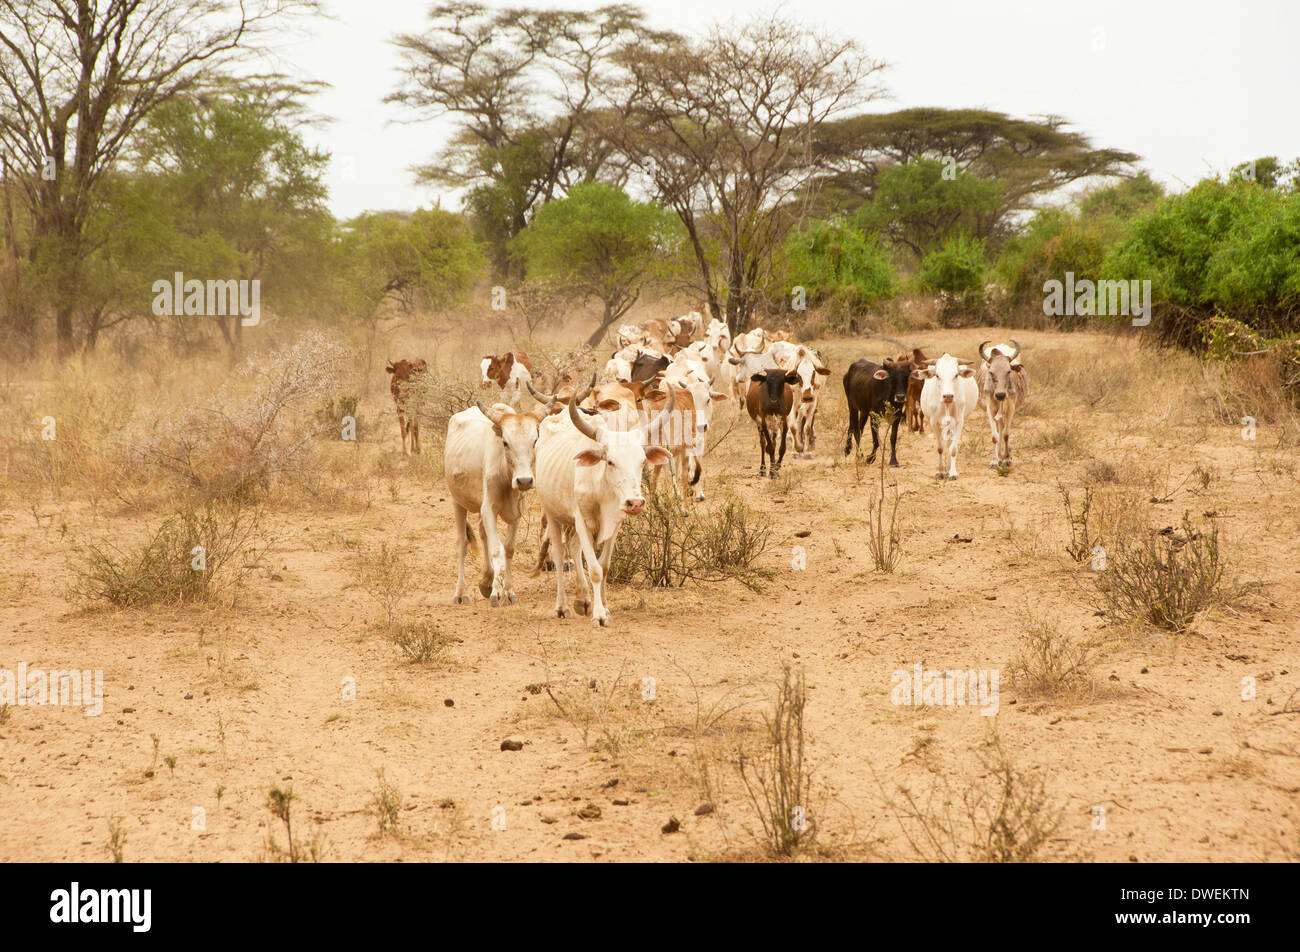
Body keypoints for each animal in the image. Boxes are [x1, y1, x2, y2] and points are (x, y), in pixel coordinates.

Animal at [444, 392, 557, 606]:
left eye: (535, 441)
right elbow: (497, 549)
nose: (524, 481)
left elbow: (509, 549)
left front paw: (509, 591)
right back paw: (460, 593)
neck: (506, 475)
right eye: (505, 442)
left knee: (482, 533)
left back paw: (486, 580)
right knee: (461, 544)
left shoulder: (516, 514)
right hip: (457, 501)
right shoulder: (488, 508)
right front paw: (497, 593)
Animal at [534, 379, 674, 626]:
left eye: (642, 461)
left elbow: (605, 566)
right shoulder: (581, 521)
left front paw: (605, 608)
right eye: (610, 461)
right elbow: (595, 569)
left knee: (573, 547)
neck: (601, 489)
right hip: (552, 514)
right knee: (560, 556)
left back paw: (583, 599)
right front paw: (599, 616)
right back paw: (562, 607)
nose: (635, 503)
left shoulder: (615, 522)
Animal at [976, 339, 1028, 468]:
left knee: (1003, 429)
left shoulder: (1011, 409)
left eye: (1008, 371)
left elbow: (1006, 434)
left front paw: (1007, 459)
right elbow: (995, 436)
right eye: (991, 372)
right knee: (999, 427)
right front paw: (995, 460)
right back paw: (999, 456)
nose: (1000, 395)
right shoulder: (990, 408)